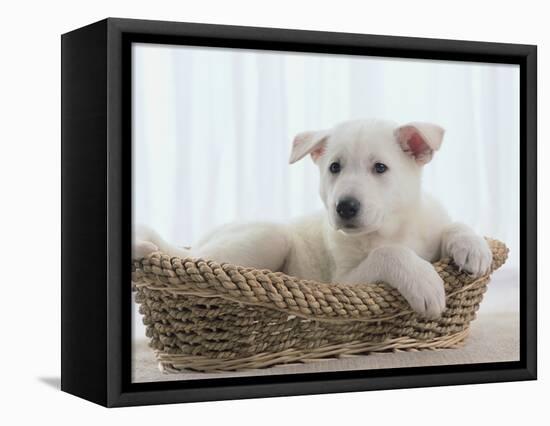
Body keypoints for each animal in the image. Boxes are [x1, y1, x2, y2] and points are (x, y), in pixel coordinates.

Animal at [136, 118, 494, 318]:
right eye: (334, 167)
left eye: (380, 168)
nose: (345, 207)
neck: (392, 228)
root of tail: (198, 242)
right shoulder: (345, 282)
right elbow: (388, 253)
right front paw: (424, 282)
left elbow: (451, 225)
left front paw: (473, 247)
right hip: (267, 236)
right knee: (198, 259)